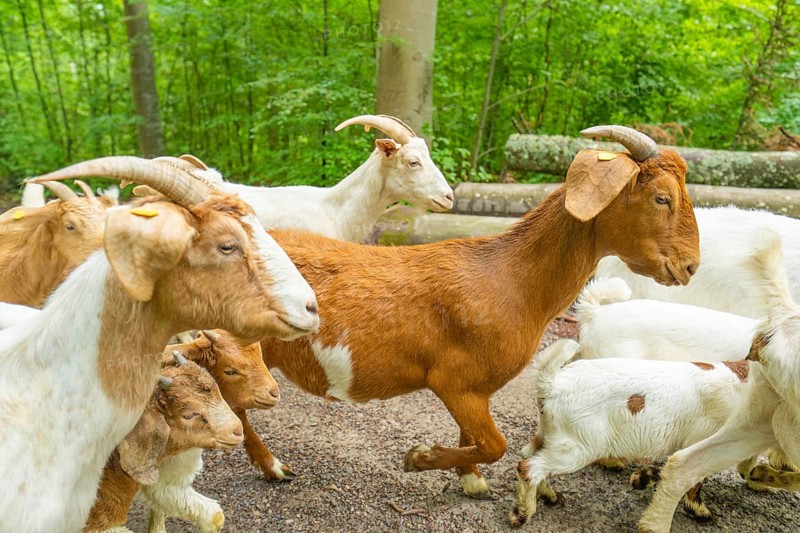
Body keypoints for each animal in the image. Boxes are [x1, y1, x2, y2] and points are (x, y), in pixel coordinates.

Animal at [235, 126, 702, 497]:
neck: (509, 277)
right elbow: (496, 444)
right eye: (662, 198)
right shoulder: (454, 381)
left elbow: (478, 440)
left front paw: (470, 478)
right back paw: (272, 466)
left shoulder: (478, 387)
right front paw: (420, 458)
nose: (690, 266)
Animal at [508, 339, 751, 527]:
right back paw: (521, 514)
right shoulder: (704, 443)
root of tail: (552, 385)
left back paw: (549, 497)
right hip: (578, 448)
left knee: (532, 457)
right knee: (529, 467)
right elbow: (694, 478)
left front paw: (643, 478)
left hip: (550, 436)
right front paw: (700, 511)